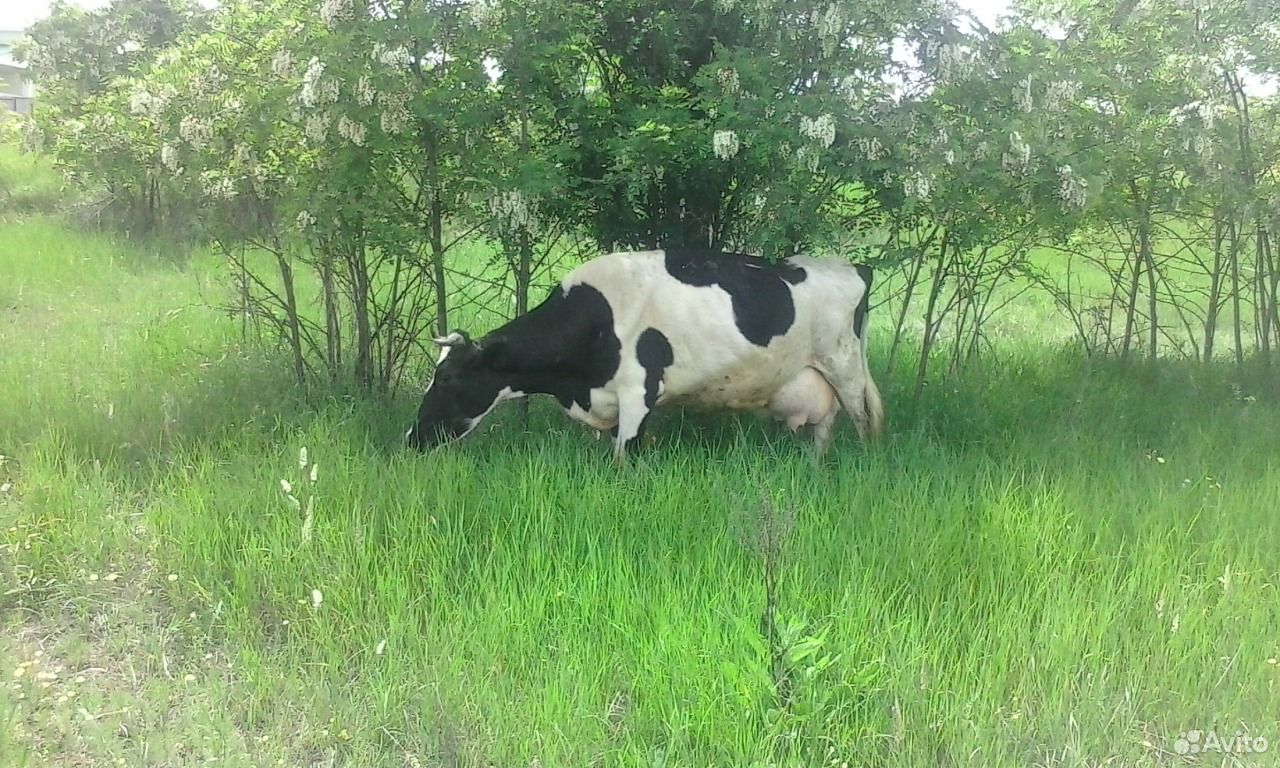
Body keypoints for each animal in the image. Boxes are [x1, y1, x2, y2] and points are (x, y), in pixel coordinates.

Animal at [404, 249, 885, 458]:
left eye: (448, 379)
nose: (412, 438)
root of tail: (851, 266)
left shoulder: (639, 390)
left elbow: (624, 456)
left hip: (844, 367)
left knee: (862, 421)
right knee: (823, 428)